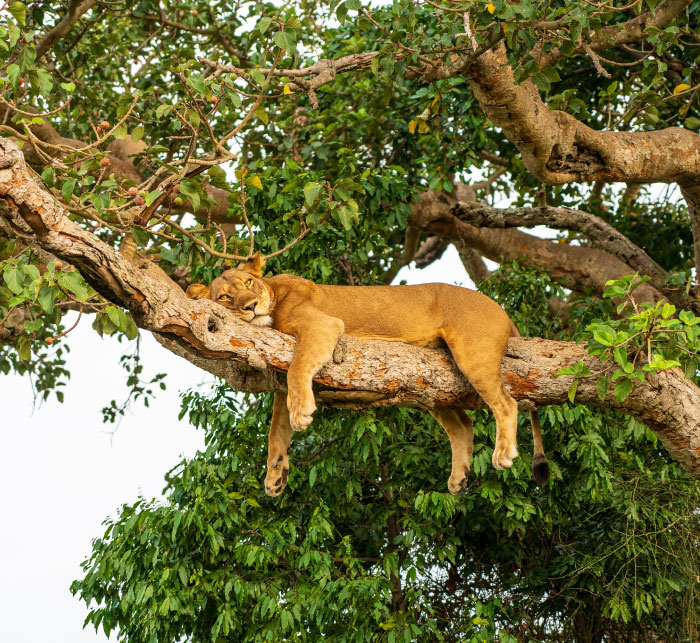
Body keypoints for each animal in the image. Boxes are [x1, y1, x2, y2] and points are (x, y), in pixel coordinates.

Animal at [187, 253, 549, 497]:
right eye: (225, 297)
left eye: (249, 283)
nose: (252, 306)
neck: (274, 291)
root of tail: (501, 309)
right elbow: (277, 428)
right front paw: (275, 475)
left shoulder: (322, 325)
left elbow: (297, 371)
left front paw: (302, 412)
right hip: (431, 381)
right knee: (463, 424)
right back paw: (458, 477)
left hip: (473, 355)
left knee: (506, 404)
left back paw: (503, 454)